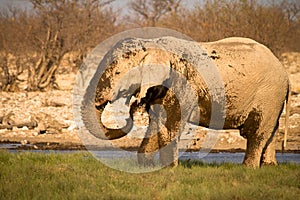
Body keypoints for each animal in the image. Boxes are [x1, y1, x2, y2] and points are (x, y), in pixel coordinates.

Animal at [81, 36, 290, 168]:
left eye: (117, 73)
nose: (132, 108)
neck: (153, 45)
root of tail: (285, 73)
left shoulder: (181, 84)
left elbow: (171, 123)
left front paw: (168, 169)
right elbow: (157, 122)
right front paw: (146, 166)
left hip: (270, 94)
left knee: (257, 131)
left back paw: (248, 168)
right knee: (270, 129)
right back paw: (269, 166)